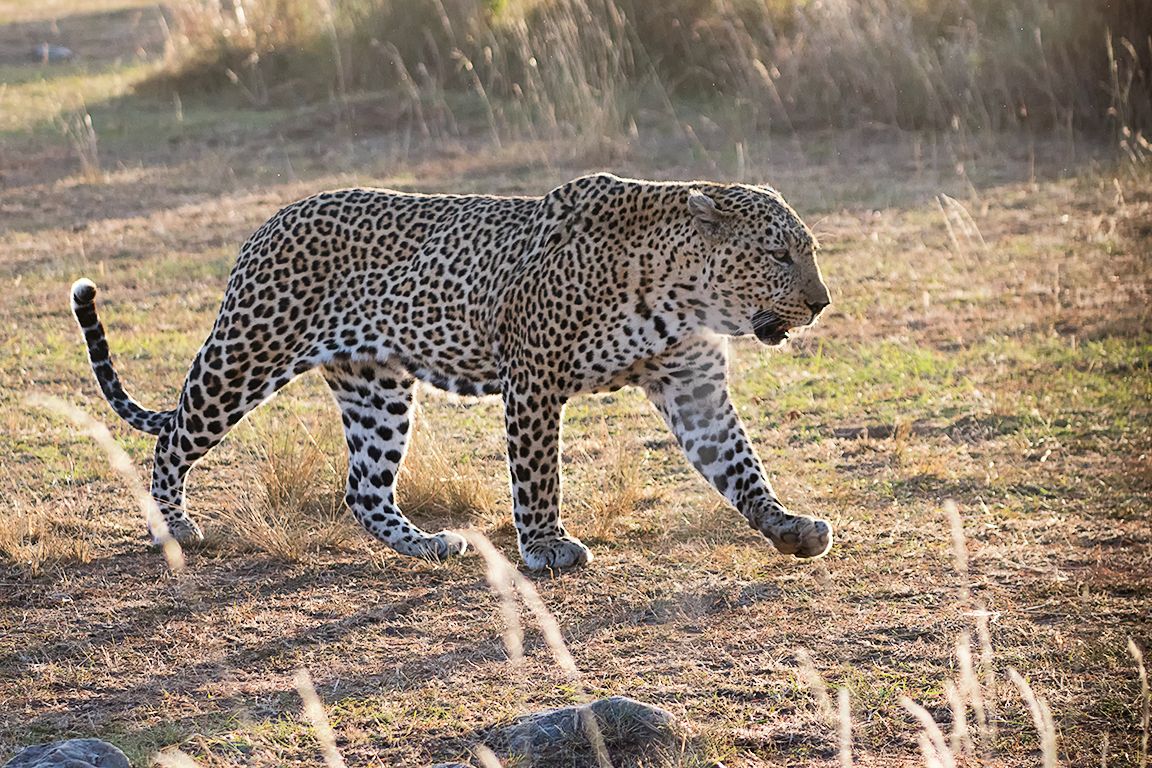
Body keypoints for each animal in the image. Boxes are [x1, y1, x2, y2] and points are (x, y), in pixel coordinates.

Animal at [70, 172, 833, 570]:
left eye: (811, 251)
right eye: (778, 254)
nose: (822, 302)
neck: (682, 291)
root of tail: (267, 224)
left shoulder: (691, 383)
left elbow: (739, 465)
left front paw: (787, 527)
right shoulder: (534, 378)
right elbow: (537, 476)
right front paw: (546, 548)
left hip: (376, 388)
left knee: (364, 488)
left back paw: (429, 546)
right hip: (247, 352)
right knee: (174, 439)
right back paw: (176, 527)